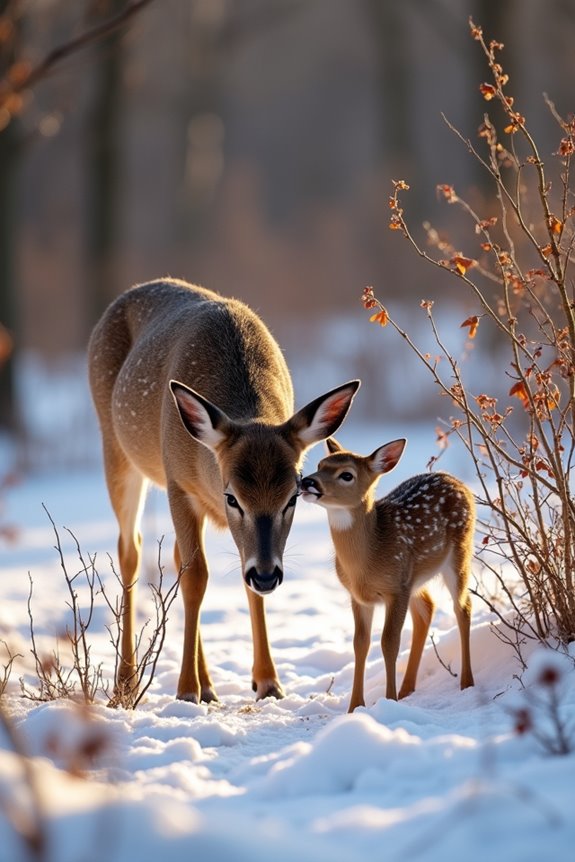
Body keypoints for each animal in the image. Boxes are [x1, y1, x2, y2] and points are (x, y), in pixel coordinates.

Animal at [88, 278, 360, 705]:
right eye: (232, 497)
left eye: (293, 496)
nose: (267, 575)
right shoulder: (178, 484)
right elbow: (196, 576)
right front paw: (186, 690)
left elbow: (231, 579)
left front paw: (268, 682)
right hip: (115, 450)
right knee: (130, 550)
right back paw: (128, 682)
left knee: (174, 554)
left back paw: (209, 684)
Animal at [301, 437, 475, 712]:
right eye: (320, 464)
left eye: (347, 475)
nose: (307, 482)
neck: (366, 561)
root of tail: (455, 480)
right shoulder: (360, 596)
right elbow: (360, 644)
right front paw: (355, 707)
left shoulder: (396, 589)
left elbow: (389, 643)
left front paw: (388, 701)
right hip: (414, 577)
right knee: (427, 608)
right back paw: (407, 689)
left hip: (459, 554)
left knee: (463, 607)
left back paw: (466, 682)